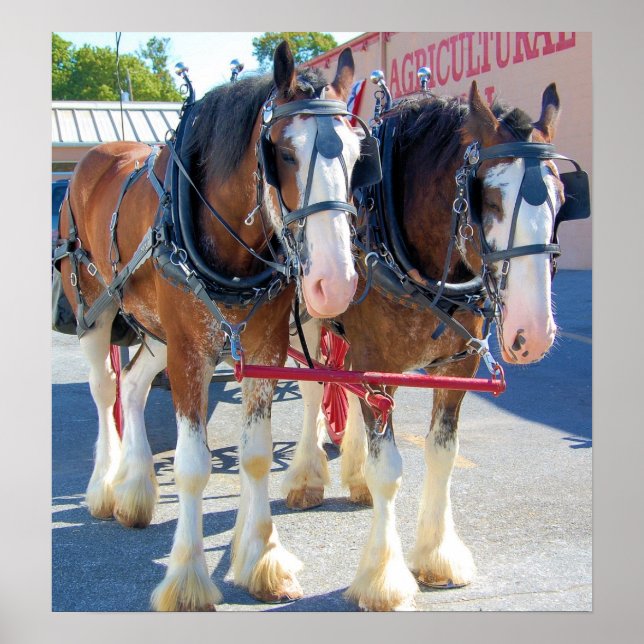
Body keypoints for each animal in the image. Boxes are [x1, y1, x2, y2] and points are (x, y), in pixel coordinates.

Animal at [54, 42, 373, 611]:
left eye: (360, 158)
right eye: (283, 154)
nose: (334, 282)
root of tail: (96, 155)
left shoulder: (263, 346)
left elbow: (256, 456)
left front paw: (261, 559)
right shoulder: (189, 354)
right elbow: (192, 465)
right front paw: (187, 579)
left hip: (158, 329)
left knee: (133, 386)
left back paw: (135, 489)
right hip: (95, 308)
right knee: (106, 388)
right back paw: (105, 485)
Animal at [282, 79, 590, 610]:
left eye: (562, 197)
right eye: (489, 198)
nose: (533, 333)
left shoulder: (458, 365)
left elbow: (442, 453)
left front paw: (438, 555)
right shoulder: (374, 362)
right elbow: (389, 467)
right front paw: (383, 579)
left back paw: (354, 476)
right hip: (311, 312)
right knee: (314, 387)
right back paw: (306, 476)